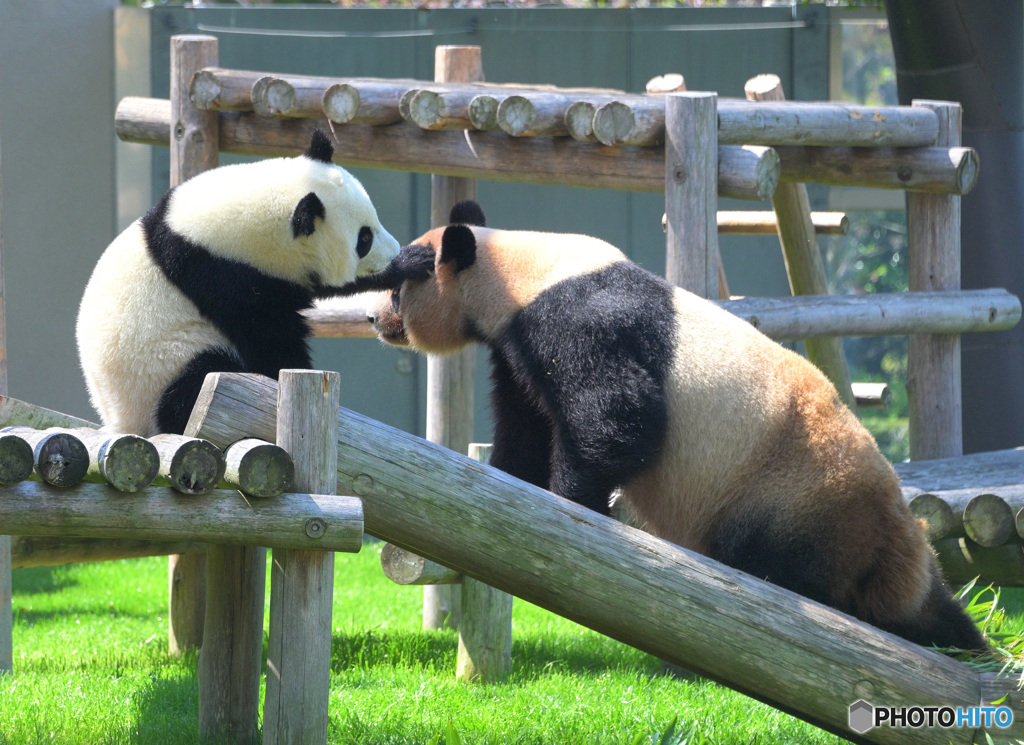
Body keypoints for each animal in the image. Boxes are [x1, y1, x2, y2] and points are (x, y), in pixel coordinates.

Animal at [76, 129, 399, 435]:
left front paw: (406, 264)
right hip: (162, 367)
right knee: (196, 379)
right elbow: (270, 338)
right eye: (364, 239)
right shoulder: (224, 278)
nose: (393, 252)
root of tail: (120, 424)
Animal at [366, 197, 983, 650]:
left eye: (398, 286)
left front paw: (571, 504)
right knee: (933, 610)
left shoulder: (579, 322)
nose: (374, 319)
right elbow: (528, 422)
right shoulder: (518, 346)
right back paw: (965, 642)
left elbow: (619, 417)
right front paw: (510, 483)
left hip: (795, 496)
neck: (516, 268)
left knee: (780, 561)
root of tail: (897, 531)